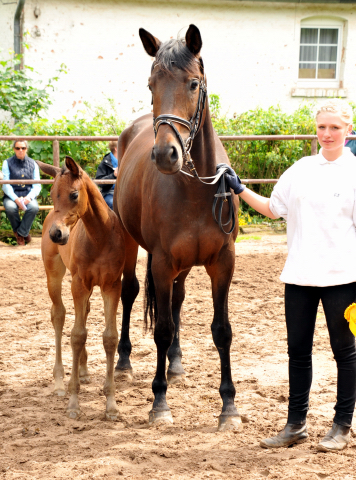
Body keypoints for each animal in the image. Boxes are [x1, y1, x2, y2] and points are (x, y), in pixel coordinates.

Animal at [38, 157, 125, 420]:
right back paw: (60, 381)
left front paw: (111, 405)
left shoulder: (111, 285)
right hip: (54, 274)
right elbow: (76, 335)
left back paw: (84, 371)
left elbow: (109, 337)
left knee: (83, 314)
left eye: (74, 194)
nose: (56, 234)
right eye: (52, 195)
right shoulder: (78, 283)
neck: (100, 237)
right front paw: (74, 402)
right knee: (58, 315)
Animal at [115, 24, 241, 432]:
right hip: (131, 244)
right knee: (130, 291)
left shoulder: (222, 263)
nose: (165, 154)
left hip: (184, 265)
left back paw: (176, 362)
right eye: (151, 84)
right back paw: (124, 361)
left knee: (177, 298)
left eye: (193, 83)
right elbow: (162, 328)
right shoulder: (162, 261)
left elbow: (222, 330)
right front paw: (159, 403)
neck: (195, 188)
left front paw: (228, 407)